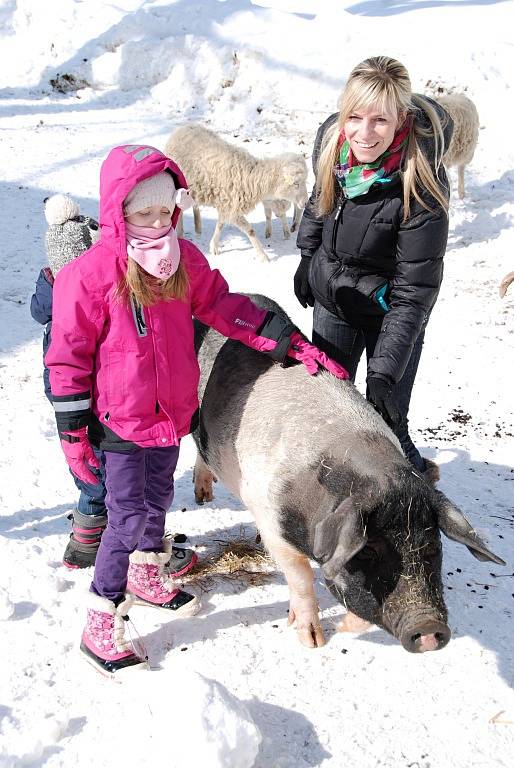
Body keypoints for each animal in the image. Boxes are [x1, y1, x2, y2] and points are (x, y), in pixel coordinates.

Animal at [165, 124, 308, 260]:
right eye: (296, 183)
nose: (306, 202)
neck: (251, 177)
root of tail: (181, 128)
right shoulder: (232, 207)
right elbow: (250, 230)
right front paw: (263, 256)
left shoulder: (227, 205)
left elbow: (220, 224)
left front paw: (214, 246)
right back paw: (180, 234)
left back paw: (197, 227)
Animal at [192, 294, 504, 656]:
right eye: (368, 549)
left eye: (432, 543)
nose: (428, 628)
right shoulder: (274, 525)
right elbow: (301, 578)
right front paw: (313, 641)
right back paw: (202, 498)